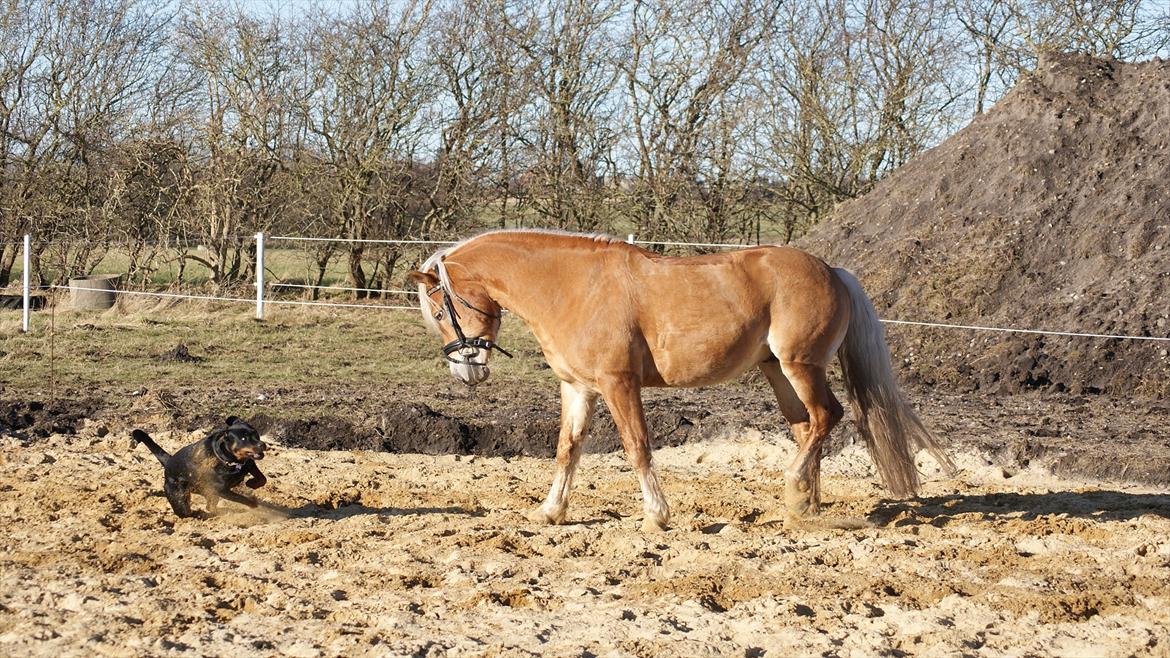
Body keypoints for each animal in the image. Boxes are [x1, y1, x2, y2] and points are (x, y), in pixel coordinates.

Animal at [132, 414, 269, 517]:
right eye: (244, 439)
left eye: (256, 434)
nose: (262, 445)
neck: (229, 460)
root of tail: (169, 462)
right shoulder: (221, 490)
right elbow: (243, 499)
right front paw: (254, 504)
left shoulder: (249, 464)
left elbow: (263, 478)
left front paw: (251, 483)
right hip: (179, 498)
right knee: (188, 512)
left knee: (210, 506)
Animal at [407, 228, 954, 529]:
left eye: (440, 309)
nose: (466, 371)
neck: (571, 287)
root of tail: (831, 270)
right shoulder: (578, 388)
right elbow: (567, 449)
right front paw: (550, 512)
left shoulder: (618, 384)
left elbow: (637, 447)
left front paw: (657, 515)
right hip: (777, 371)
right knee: (805, 427)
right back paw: (804, 506)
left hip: (801, 365)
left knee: (827, 417)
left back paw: (795, 487)